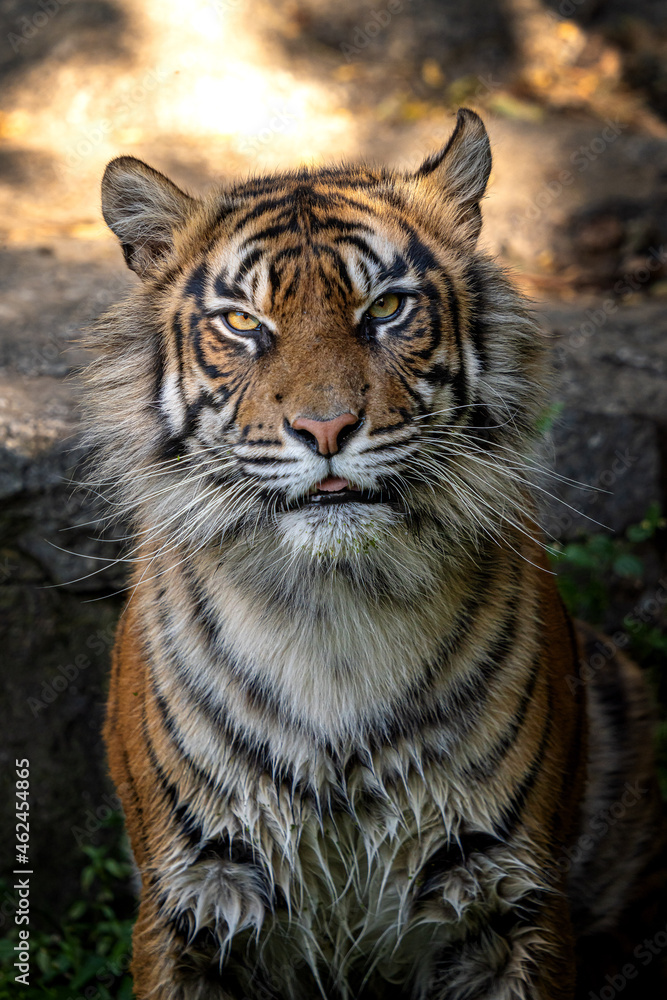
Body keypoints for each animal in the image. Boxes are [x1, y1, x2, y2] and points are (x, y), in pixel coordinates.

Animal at [83, 108, 664, 1000]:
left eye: (386, 308)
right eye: (243, 322)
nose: (324, 429)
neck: (337, 612)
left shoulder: (508, 899)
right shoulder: (197, 898)